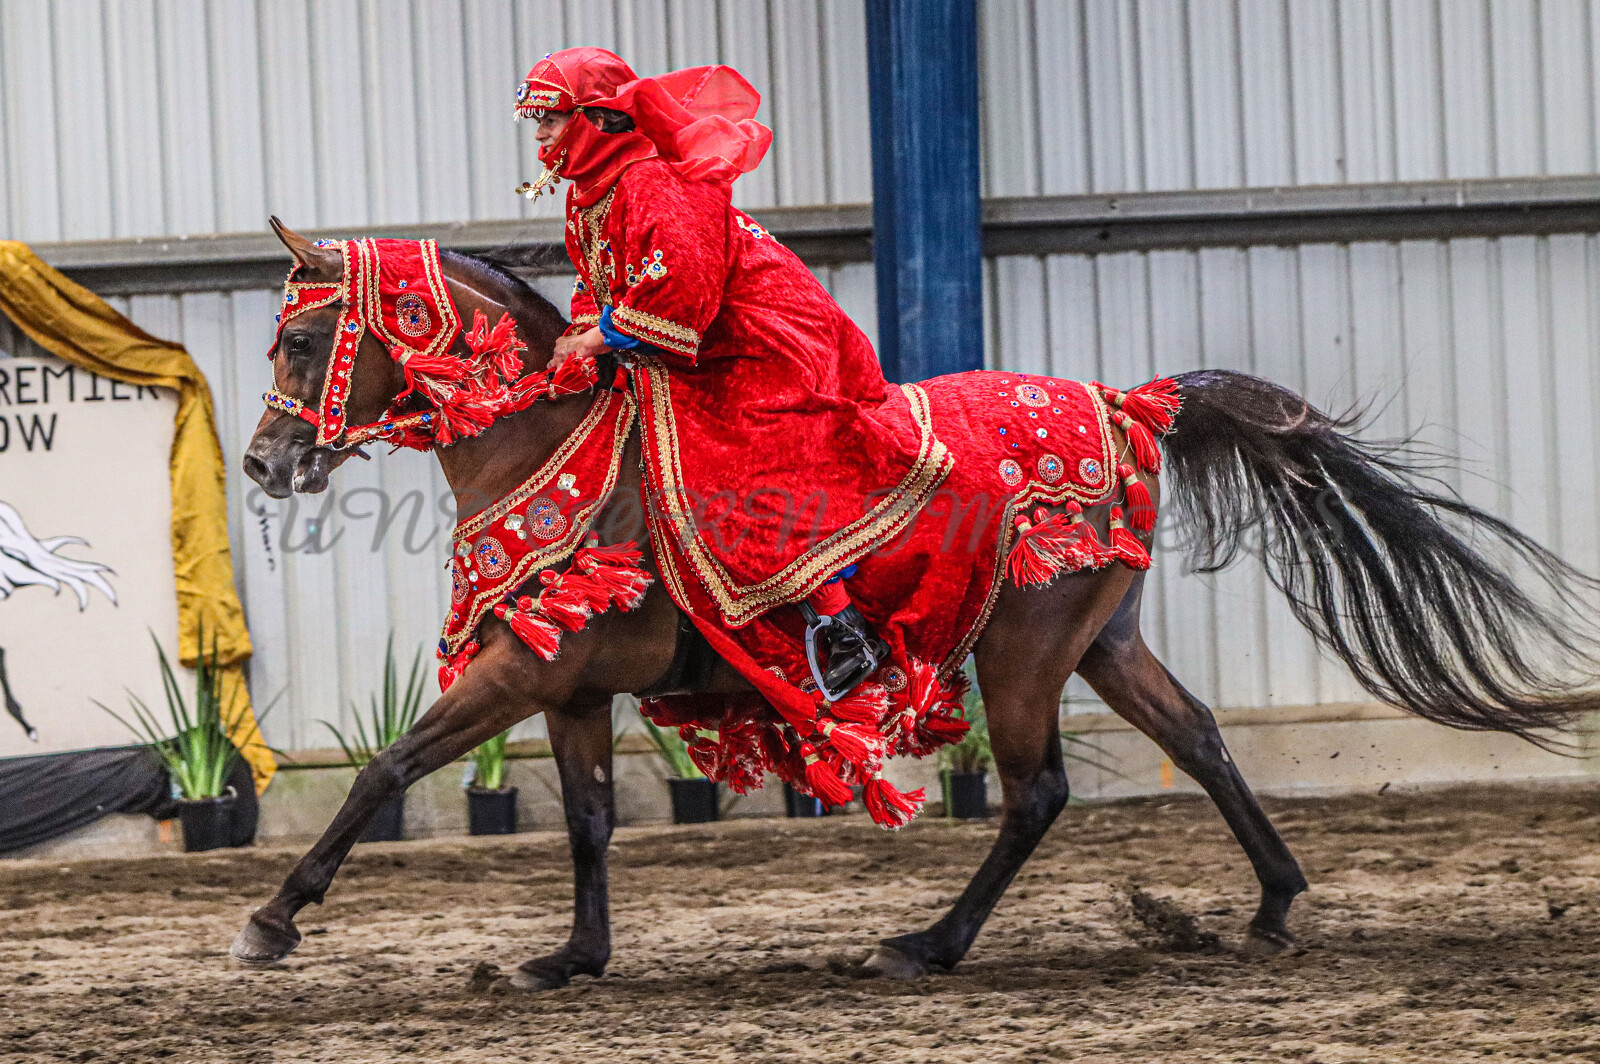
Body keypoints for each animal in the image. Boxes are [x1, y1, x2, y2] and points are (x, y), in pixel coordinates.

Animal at [233, 219, 1600, 989]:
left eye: (300, 340)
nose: (260, 461)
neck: (555, 443)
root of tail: (1130, 406)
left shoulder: (518, 673)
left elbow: (386, 767)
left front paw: (272, 920)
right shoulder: (566, 680)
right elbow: (583, 820)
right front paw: (572, 956)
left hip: (1026, 652)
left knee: (1038, 790)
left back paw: (926, 943)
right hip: (1100, 639)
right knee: (1200, 737)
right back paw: (1269, 905)